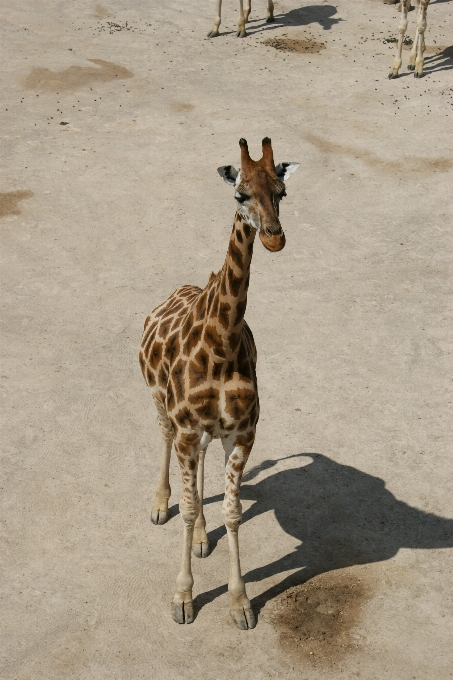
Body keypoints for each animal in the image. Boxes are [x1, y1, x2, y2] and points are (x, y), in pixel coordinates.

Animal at [139, 135, 298, 628]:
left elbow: (232, 512)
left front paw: (240, 602)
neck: (222, 345)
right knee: (164, 439)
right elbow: (190, 508)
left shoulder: (242, 432)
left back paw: (202, 540)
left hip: (208, 432)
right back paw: (159, 505)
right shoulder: (189, 430)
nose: (274, 237)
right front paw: (183, 598)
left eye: (282, 192)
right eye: (240, 194)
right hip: (161, 405)